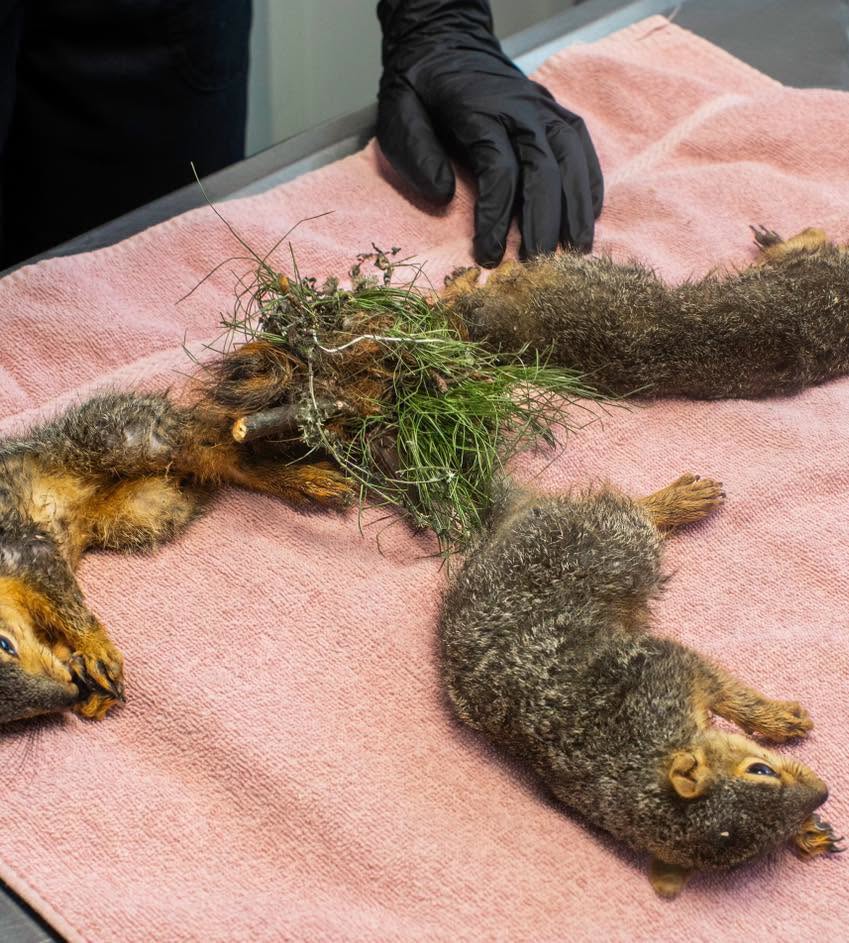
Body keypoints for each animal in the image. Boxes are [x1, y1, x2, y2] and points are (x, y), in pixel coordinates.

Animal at [0, 384, 351, 725]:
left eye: (4, 644)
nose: (68, 696)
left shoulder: (25, 548)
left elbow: (67, 604)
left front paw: (96, 650)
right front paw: (87, 680)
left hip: (123, 437)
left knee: (219, 444)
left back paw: (301, 474)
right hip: (146, 507)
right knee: (218, 468)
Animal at [440, 474, 842, 897]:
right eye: (760, 770)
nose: (823, 793)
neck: (638, 756)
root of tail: (504, 525)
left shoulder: (668, 668)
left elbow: (729, 695)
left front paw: (781, 726)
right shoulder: (672, 670)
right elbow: (733, 695)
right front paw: (804, 821)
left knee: (631, 508)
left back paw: (683, 495)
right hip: (625, 548)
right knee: (634, 514)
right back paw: (682, 500)